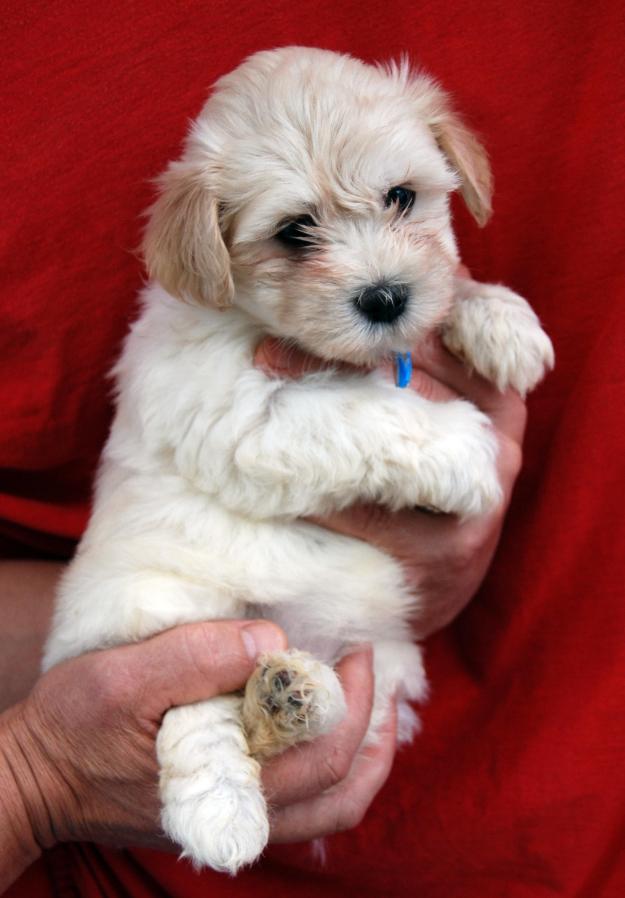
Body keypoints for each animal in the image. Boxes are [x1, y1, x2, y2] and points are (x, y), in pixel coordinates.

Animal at [42, 45, 552, 872]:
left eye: (401, 197)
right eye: (294, 232)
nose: (385, 297)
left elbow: (451, 289)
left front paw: (501, 324)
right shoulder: (246, 418)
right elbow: (367, 413)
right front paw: (468, 453)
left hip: (377, 662)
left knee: (329, 712)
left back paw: (295, 695)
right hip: (162, 620)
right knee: (202, 720)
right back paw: (227, 807)